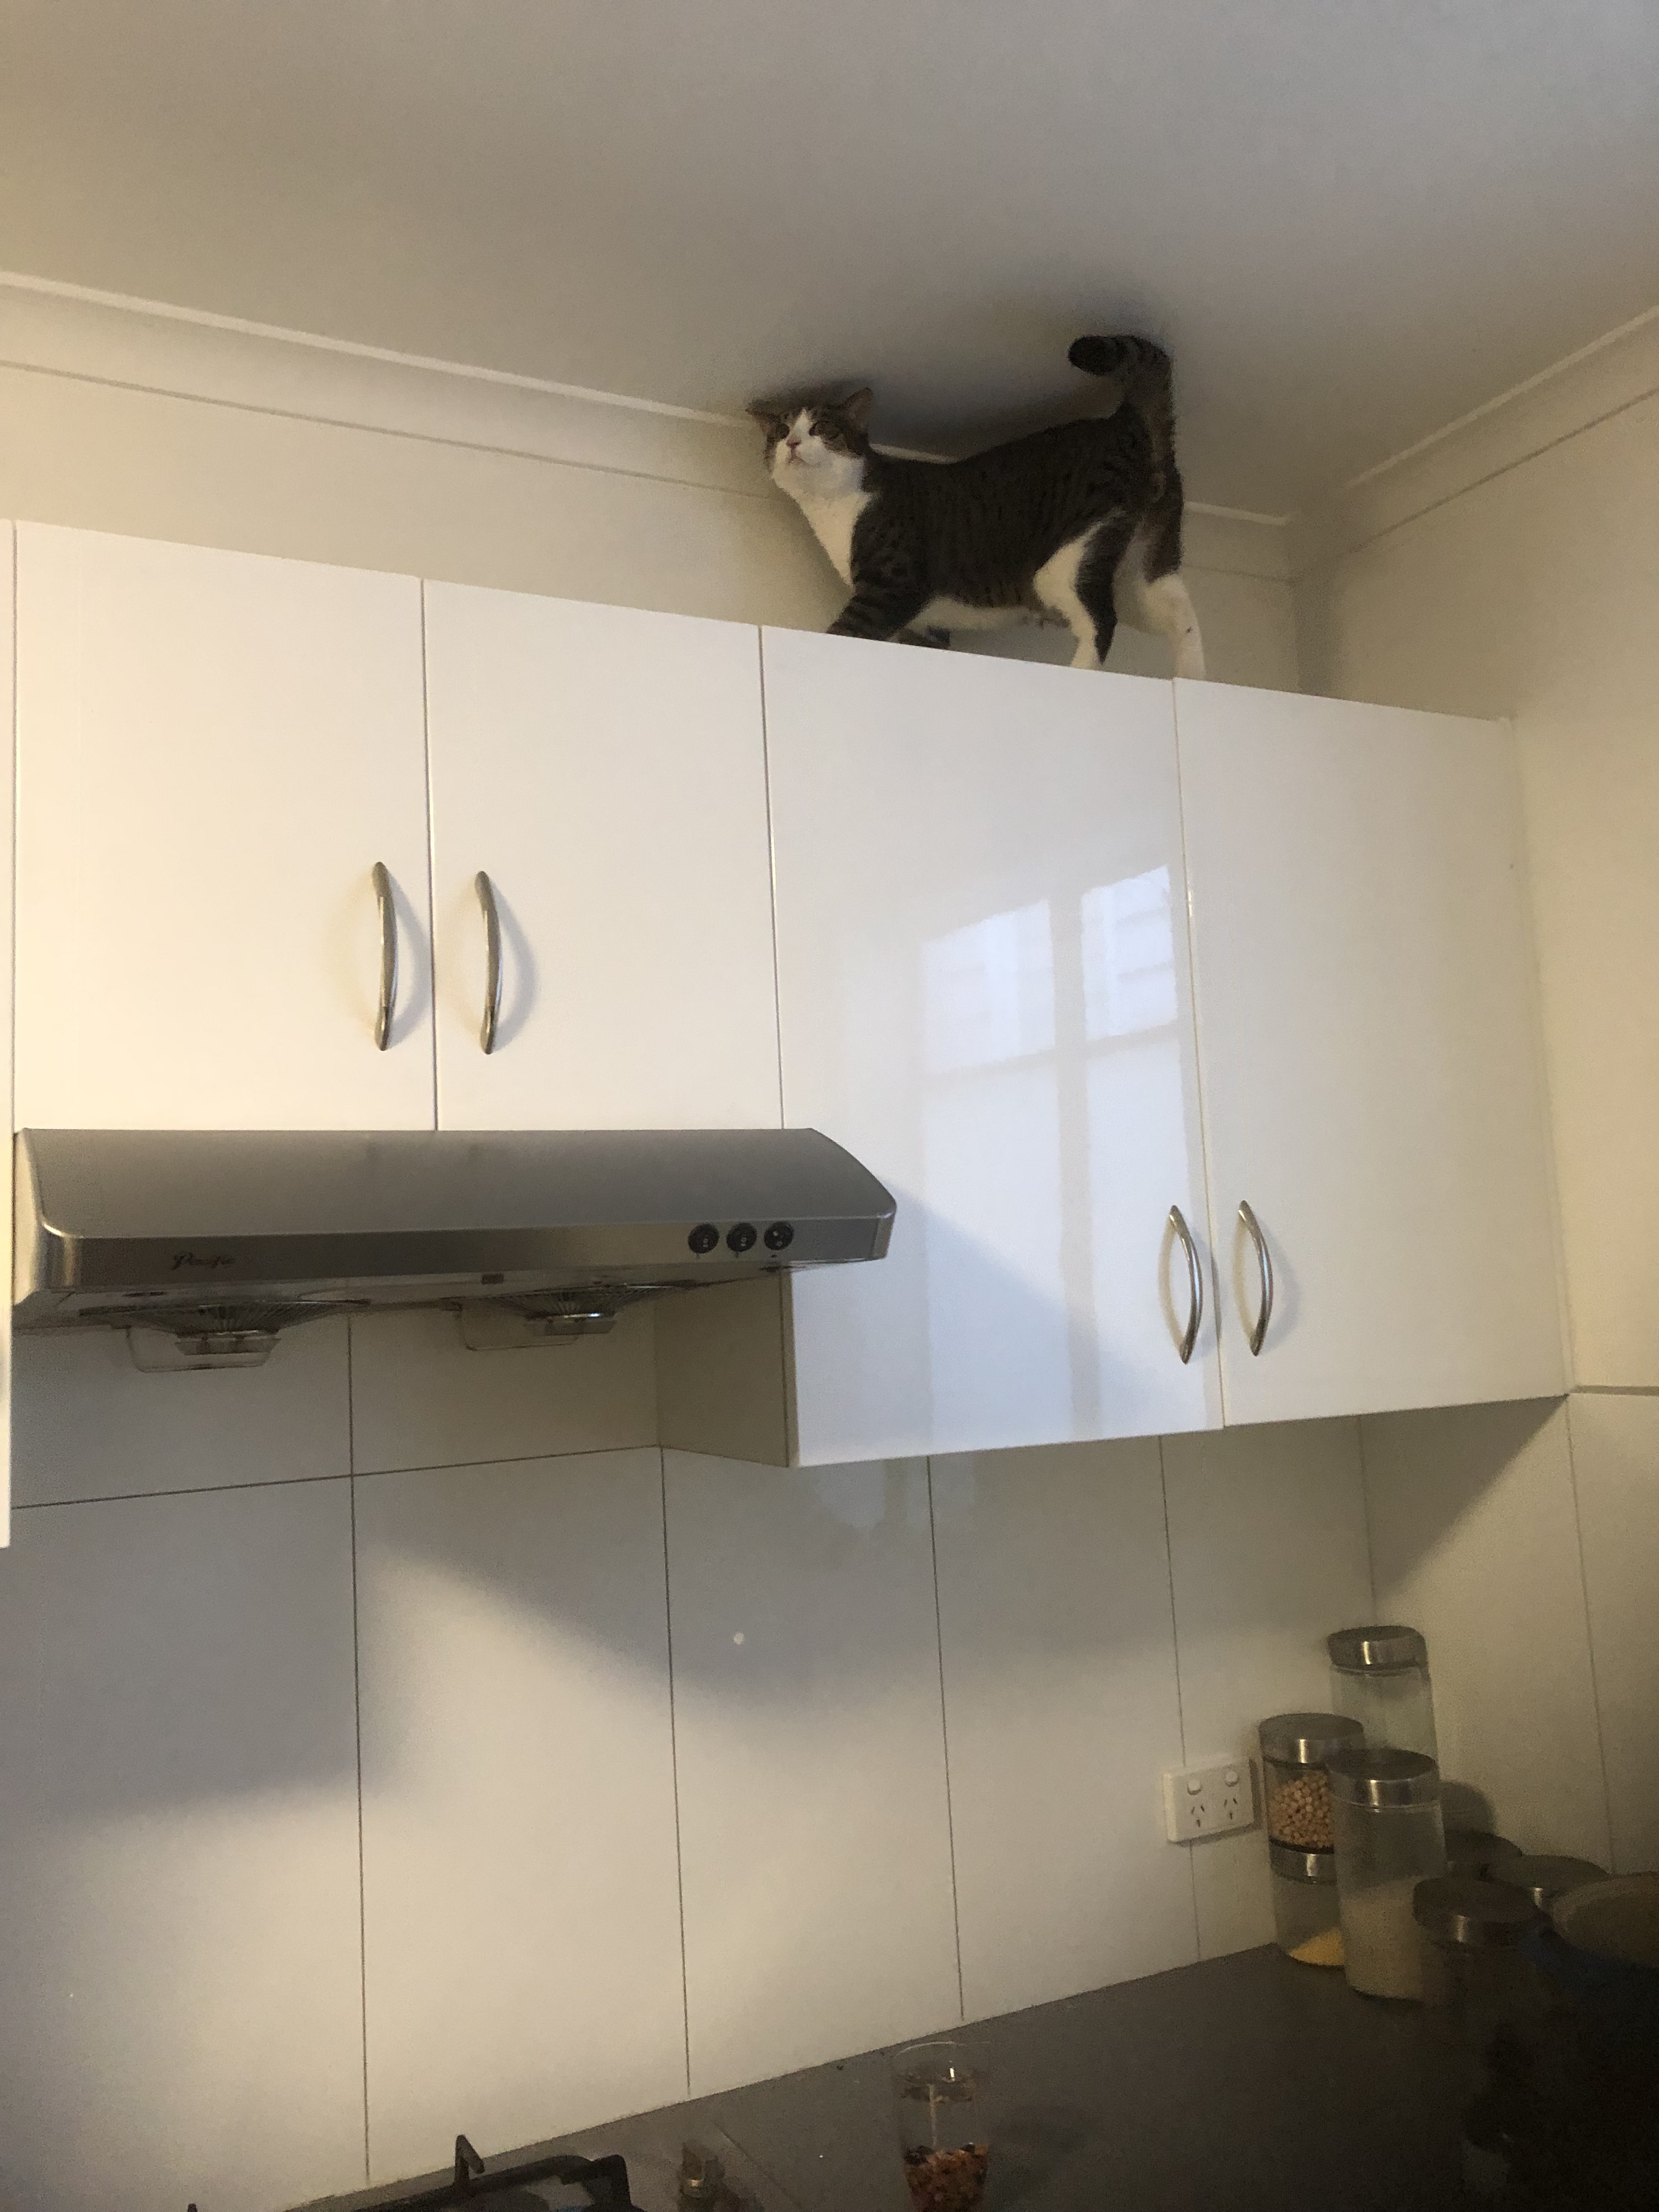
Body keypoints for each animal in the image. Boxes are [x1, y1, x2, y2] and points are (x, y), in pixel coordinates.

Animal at [752, 331, 1212, 676]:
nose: (792, 443)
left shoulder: (892, 585)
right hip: (1146, 560)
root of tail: (1123, 419)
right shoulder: (926, 625)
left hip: (1072, 553)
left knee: (1102, 620)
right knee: (1179, 612)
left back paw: (1080, 671)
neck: (832, 507)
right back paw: (1194, 681)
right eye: (780, 432)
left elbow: (847, 630)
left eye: (820, 429)